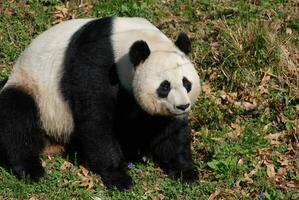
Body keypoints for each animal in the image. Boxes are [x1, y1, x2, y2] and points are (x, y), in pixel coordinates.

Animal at [0, 16, 202, 189]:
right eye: (164, 87)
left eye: (187, 83)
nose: (182, 106)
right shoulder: (95, 62)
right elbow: (96, 121)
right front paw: (119, 178)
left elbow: (169, 130)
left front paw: (186, 171)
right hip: (33, 88)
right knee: (17, 116)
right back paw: (32, 170)